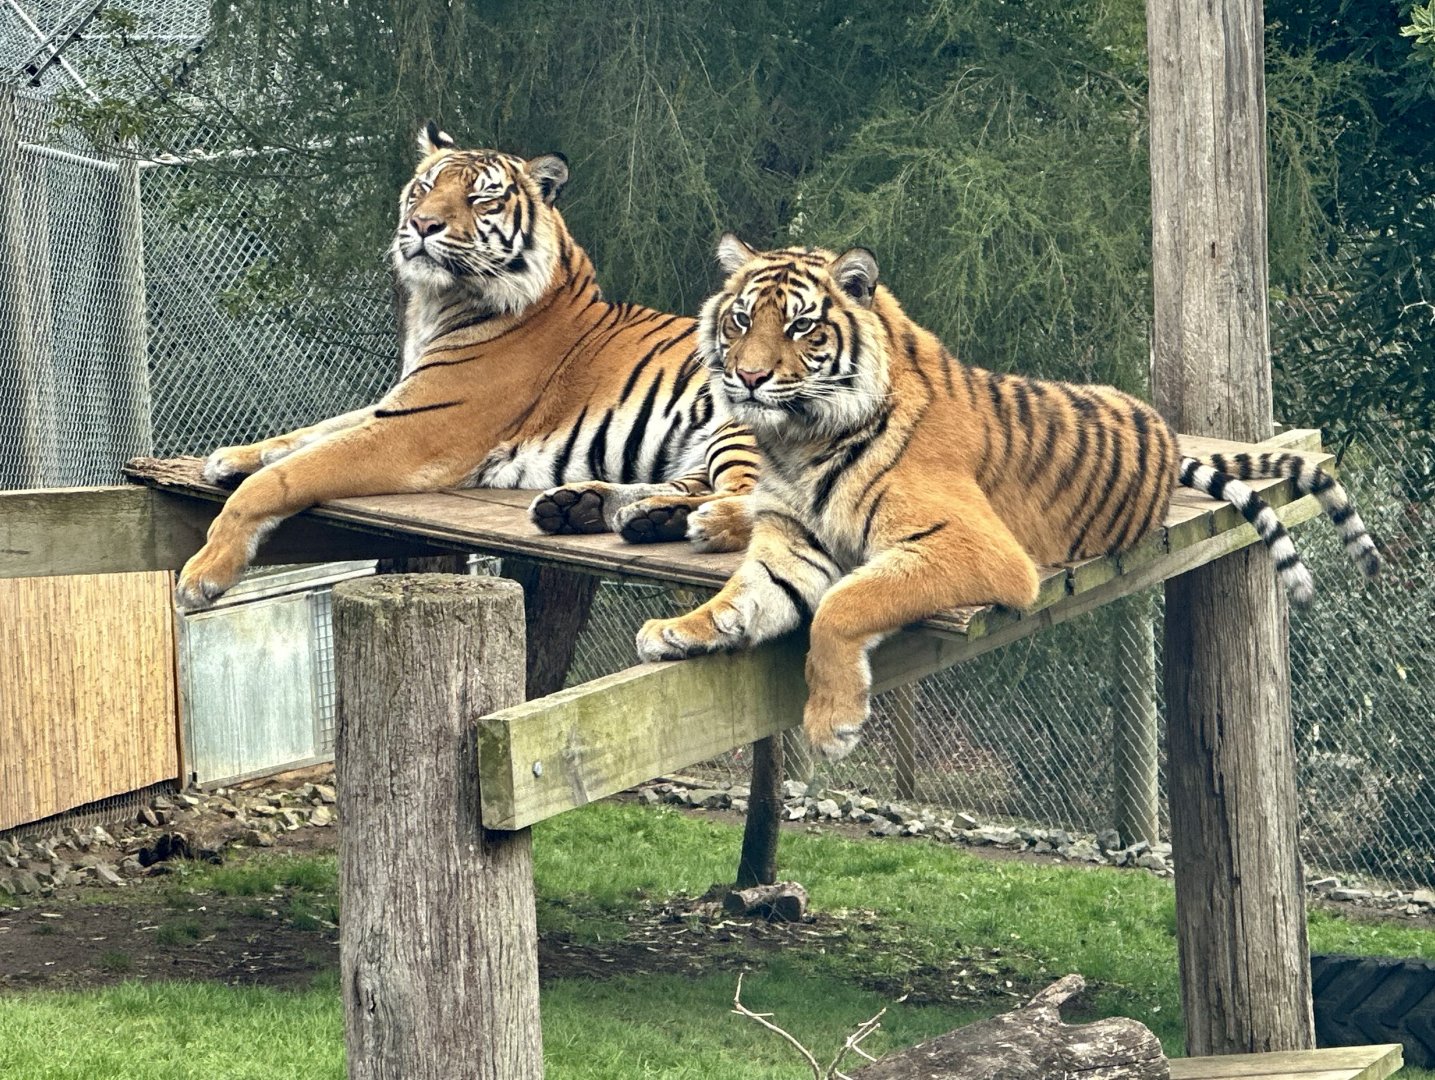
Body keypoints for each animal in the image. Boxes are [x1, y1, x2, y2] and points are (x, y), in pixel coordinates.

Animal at [175, 124, 759, 610]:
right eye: (424, 188)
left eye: (480, 198)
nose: (422, 224)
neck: (439, 302)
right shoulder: (400, 402)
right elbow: (310, 432)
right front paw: (229, 457)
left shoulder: (418, 426)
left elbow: (283, 476)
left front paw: (203, 574)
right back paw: (600, 508)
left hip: (739, 422)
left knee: (754, 502)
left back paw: (689, 521)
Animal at [636, 235, 1382, 760]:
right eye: (739, 321)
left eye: (798, 327)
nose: (747, 377)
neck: (800, 440)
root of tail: (1167, 435)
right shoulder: (792, 544)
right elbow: (741, 598)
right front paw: (679, 630)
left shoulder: (972, 547)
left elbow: (845, 604)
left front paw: (832, 725)